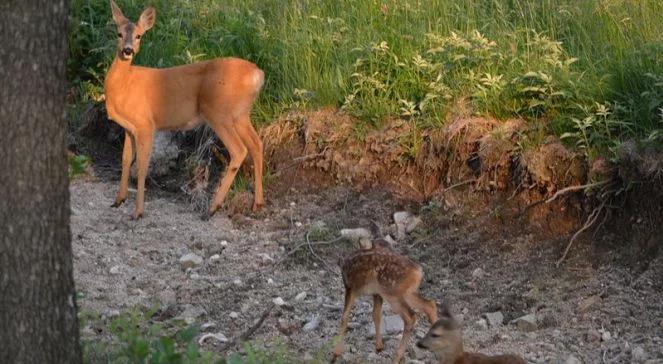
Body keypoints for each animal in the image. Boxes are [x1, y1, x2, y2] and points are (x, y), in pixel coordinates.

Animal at [104, 0, 264, 219]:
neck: (124, 86)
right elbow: (126, 160)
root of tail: (257, 75)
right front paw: (118, 200)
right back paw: (257, 204)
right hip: (241, 114)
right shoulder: (129, 127)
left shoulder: (146, 123)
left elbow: (143, 166)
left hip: (218, 112)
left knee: (239, 150)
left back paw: (212, 208)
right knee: (257, 144)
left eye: (138, 36)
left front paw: (138, 212)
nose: (127, 50)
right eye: (119, 33)